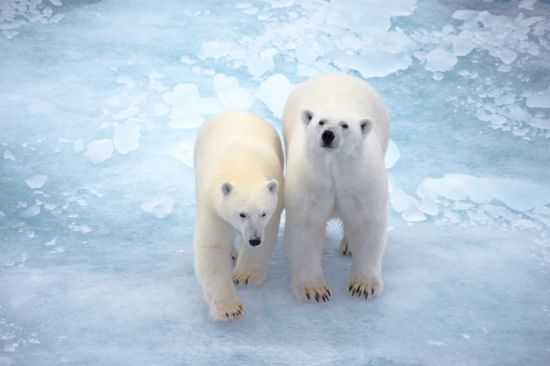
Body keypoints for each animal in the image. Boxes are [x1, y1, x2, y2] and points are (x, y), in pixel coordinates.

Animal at [193, 109, 284, 320]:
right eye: (242, 214)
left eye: (263, 213)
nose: (254, 239)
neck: (243, 168)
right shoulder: (213, 206)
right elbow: (213, 246)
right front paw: (229, 308)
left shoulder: (276, 204)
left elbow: (267, 237)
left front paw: (244, 276)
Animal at [284, 72, 392, 304]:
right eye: (320, 122)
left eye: (345, 125)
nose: (328, 134)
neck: (335, 172)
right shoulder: (312, 183)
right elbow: (306, 226)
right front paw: (314, 290)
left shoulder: (360, 182)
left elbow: (366, 223)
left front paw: (363, 286)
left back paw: (349, 245)